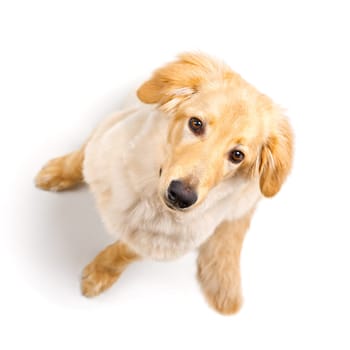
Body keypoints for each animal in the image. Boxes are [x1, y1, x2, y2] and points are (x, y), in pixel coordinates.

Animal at [34, 52, 292, 314]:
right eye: (196, 123)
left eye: (237, 155)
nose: (181, 196)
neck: (148, 197)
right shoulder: (106, 135)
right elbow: (80, 157)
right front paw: (57, 173)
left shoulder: (162, 244)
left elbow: (123, 251)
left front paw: (100, 273)